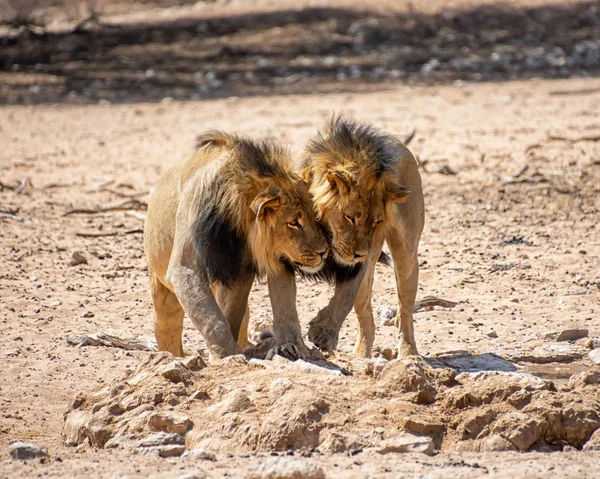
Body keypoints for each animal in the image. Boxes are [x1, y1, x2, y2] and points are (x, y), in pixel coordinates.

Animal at [144, 133, 328, 362]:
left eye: (316, 217)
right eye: (294, 223)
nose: (324, 252)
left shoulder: (251, 267)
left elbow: (274, 307)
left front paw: (291, 346)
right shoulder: (185, 268)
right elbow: (213, 319)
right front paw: (228, 356)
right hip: (162, 295)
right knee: (166, 327)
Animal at [298, 114, 424, 358]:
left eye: (376, 222)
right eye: (350, 217)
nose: (359, 254)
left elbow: (345, 297)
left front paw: (322, 334)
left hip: (406, 254)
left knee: (404, 311)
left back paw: (409, 354)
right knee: (365, 314)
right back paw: (362, 355)